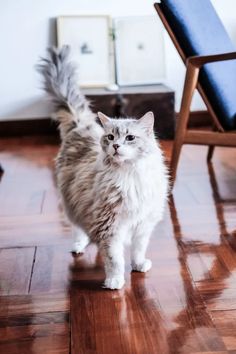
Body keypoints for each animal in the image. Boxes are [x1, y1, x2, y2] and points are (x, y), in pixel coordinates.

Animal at [37, 46, 169, 290]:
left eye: (129, 138)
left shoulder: (143, 224)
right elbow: (114, 258)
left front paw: (138, 266)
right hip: (71, 204)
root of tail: (81, 125)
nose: (116, 146)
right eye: (110, 137)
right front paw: (115, 281)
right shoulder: (110, 226)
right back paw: (79, 246)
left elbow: (138, 250)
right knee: (78, 229)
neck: (130, 175)